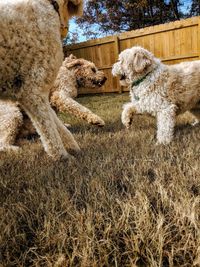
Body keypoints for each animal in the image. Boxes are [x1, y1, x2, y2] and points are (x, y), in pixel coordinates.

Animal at [0, 0, 83, 159]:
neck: (50, 5)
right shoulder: (33, 91)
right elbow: (50, 133)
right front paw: (63, 157)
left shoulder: (42, 93)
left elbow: (58, 126)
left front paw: (74, 147)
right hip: (13, 116)